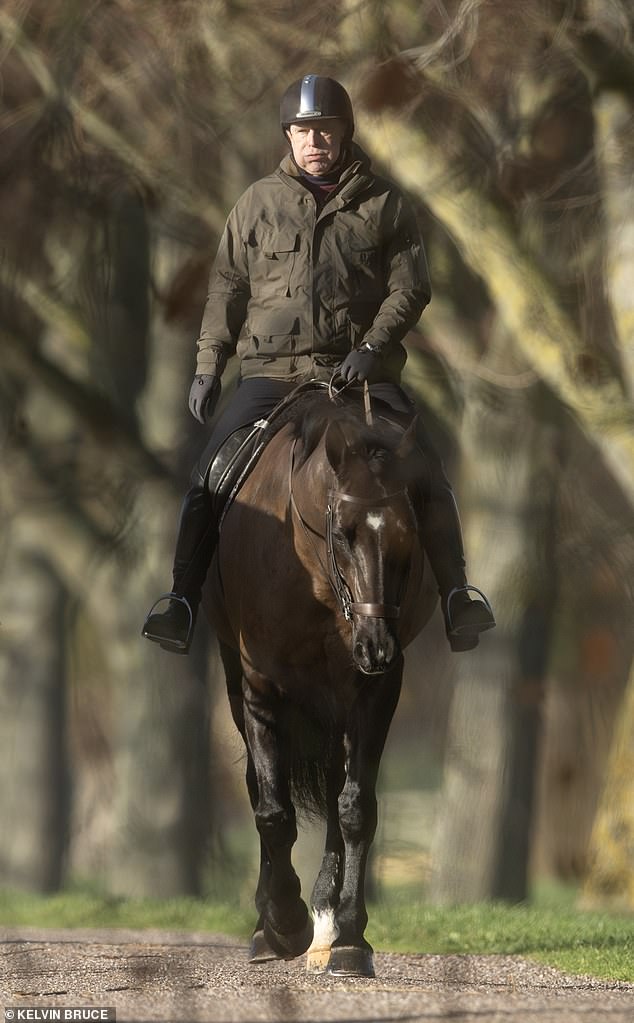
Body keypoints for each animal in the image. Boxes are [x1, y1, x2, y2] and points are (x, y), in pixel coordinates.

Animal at [204, 386, 437, 977]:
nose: (376, 646)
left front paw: (349, 936)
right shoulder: (260, 684)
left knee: (336, 795)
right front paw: (283, 923)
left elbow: (356, 809)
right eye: (343, 532)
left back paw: (327, 924)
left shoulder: (375, 691)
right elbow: (271, 808)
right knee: (262, 788)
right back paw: (273, 922)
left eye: (409, 533)